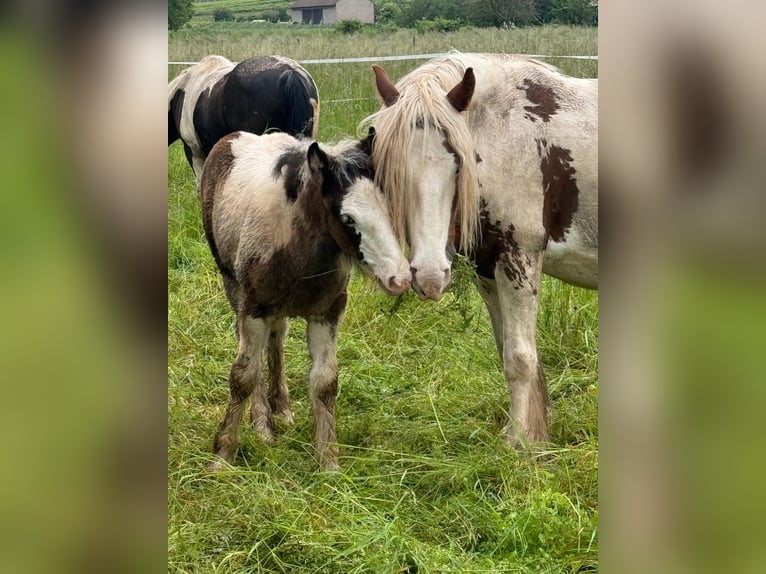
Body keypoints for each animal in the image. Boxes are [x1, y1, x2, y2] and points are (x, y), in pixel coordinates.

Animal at [200, 128, 414, 470]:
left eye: (389, 208)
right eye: (347, 219)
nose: (399, 278)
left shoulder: (327, 312)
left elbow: (325, 381)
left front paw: (328, 461)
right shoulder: (254, 308)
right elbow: (243, 375)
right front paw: (222, 457)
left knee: (277, 340)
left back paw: (281, 409)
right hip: (234, 286)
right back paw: (262, 423)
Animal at [366, 53, 600, 450]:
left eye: (458, 165)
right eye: (392, 170)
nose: (430, 276)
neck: (504, 130)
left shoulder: (519, 258)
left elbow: (520, 357)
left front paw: (520, 442)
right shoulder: (488, 269)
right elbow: (507, 348)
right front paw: (528, 432)